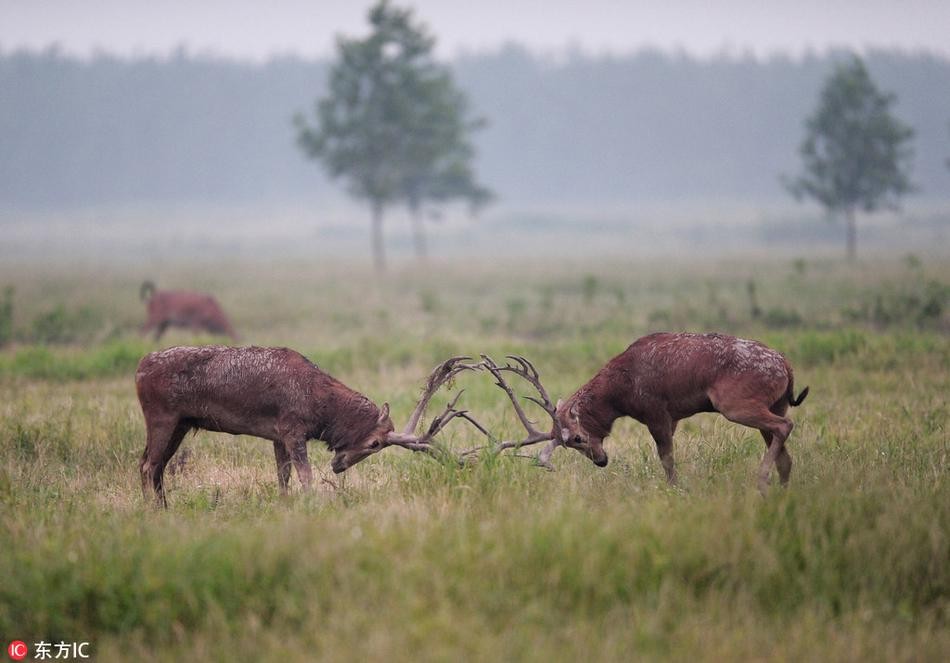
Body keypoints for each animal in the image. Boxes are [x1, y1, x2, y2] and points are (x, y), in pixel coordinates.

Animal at [135, 344, 480, 506]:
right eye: (375, 443)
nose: (339, 466)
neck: (320, 410)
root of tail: (139, 368)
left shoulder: (277, 435)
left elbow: (283, 476)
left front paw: (284, 505)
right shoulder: (293, 429)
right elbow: (305, 475)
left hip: (182, 423)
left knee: (154, 464)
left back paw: (164, 507)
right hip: (162, 416)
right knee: (148, 465)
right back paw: (155, 511)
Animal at [476, 332, 812, 492]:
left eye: (577, 439)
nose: (601, 460)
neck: (620, 391)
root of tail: (786, 366)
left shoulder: (657, 414)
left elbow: (667, 461)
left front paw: (677, 491)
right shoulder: (671, 419)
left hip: (736, 405)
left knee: (785, 426)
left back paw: (761, 482)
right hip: (773, 403)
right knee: (785, 454)